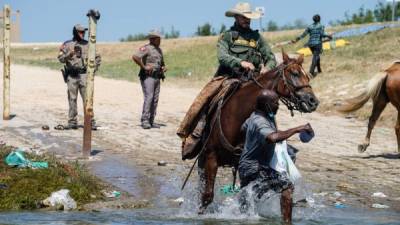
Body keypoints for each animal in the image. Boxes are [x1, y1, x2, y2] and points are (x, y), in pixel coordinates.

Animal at [197, 51, 318, 213]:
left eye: (307, 76)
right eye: (294, 73)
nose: (313, 101)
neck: (237, 115)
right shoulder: (211, 156)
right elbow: (207, 196)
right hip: (203, 159)